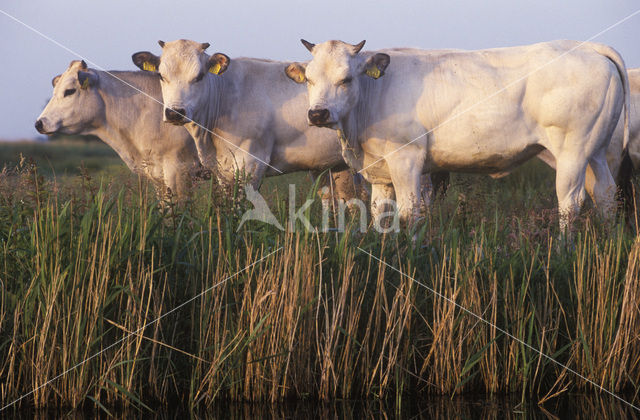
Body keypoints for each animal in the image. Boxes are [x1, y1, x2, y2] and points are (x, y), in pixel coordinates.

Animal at [286, 39, 632, 231]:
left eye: (346, 79)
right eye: (310, 80)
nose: (317, 114)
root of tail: (586, 46)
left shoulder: (406, 160)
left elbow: (409, 212)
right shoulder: (379, 170)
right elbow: (380, 214)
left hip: (573, 149)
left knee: (571, 201)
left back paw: (563, 250)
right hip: (597, 149)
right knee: (605, 194)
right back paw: (609, 240)